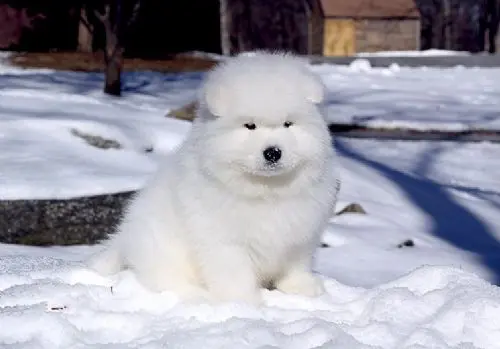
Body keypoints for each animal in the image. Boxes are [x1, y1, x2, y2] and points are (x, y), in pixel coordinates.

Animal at [89, 50, 340, 304]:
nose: (272, 152)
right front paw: (242, 302)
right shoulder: (223, 240)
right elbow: (235, 274)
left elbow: (296, 262)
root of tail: (123, 238)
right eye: (250, 126)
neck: (266, 189)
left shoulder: (301, 232)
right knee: (166, 280)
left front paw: (302, 287)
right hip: (162, 248)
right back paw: (199, 296)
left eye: (288, 124)